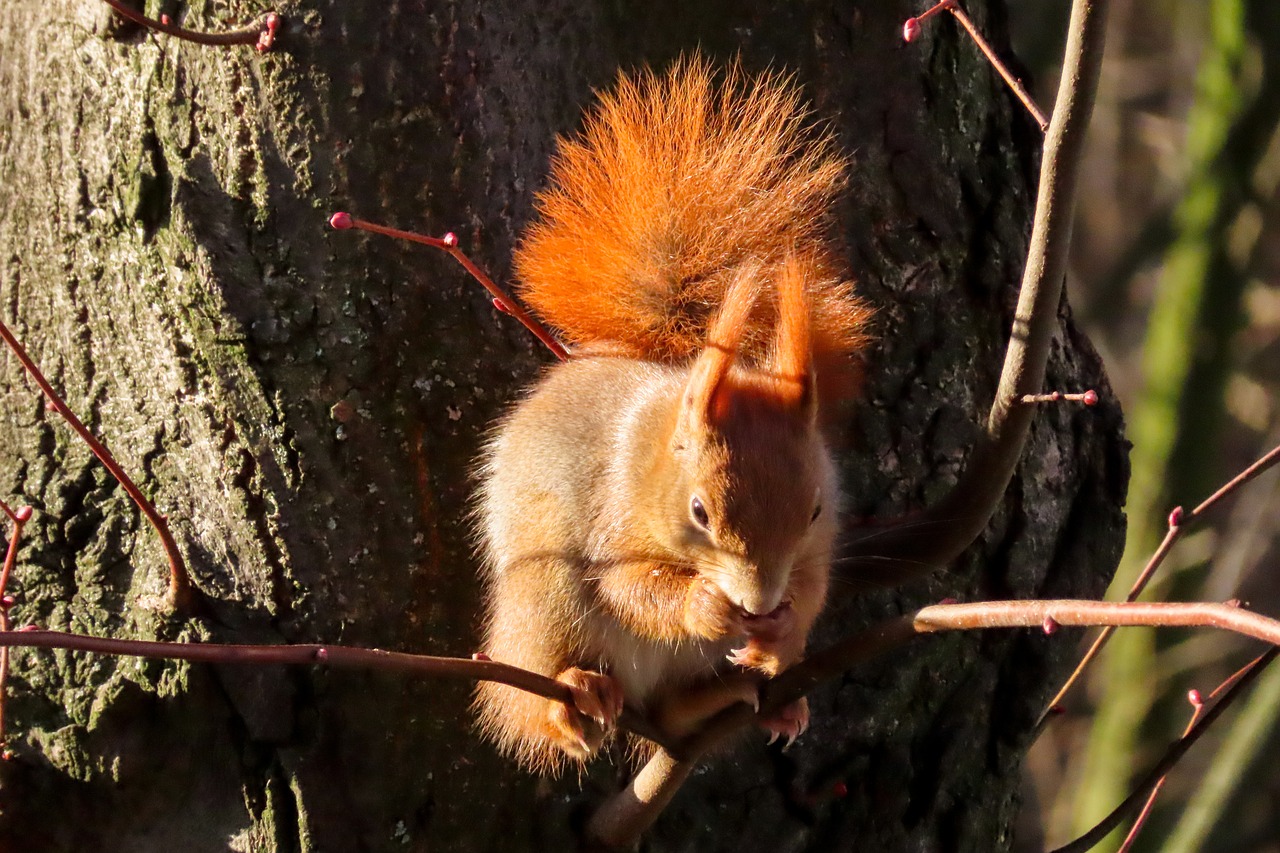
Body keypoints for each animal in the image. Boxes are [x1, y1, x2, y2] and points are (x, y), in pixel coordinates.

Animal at [476, 56, 875, 773]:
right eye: (698, 512)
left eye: (814, 510)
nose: (756, 602)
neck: (657, 448)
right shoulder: (610, 520)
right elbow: (628, 588)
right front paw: (703, 602)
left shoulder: (818, 543)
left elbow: (814, 586)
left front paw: (781, 629)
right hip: (546, 596)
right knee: (535, 690)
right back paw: (571, 698)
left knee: (668, 711)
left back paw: (747, 695)